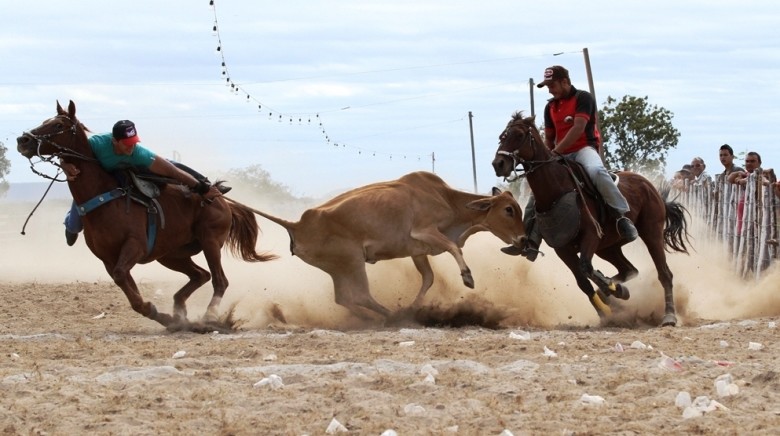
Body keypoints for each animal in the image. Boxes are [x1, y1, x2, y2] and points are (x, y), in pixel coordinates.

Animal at [14, 100, 278, 332]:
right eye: (45, 121)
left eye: (58, 125)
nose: (23, 140)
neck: (104, 197)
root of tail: (223, 201)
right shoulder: (108, 259)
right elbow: (129, 291)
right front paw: (165, 317)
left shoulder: (135, 246)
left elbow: (125, 281)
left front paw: (164, 315)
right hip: (171, 254)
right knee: (200, 275)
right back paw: (180, 311)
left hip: (209, 242)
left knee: (219, 280)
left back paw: (209, 318)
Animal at [232, 171, 524, 320]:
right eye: (509, 209)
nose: (523, 240)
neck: (446, 198)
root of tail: (298, 223)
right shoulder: (426, 231)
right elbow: (455, 248)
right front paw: (467, 277)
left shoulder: (419, 252)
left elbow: (428, 279)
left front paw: (414, 306)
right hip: (352, 261)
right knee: (360, 295)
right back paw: (391, 316)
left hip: (339, 268)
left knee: (343, 298)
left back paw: (371, 318)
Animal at [490, 112, 692, 328]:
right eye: (502, 136)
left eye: (519, 135)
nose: (498, 164)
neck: (556, 190)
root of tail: (650, 186)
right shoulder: (562, 249)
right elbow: (583, 282)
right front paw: (606, 311)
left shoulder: (591, 236)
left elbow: (586, 267)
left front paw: (615, 292)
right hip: (608, 247)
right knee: (629, 270)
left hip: (651, 232)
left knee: (664, 273)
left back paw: (668, 316)